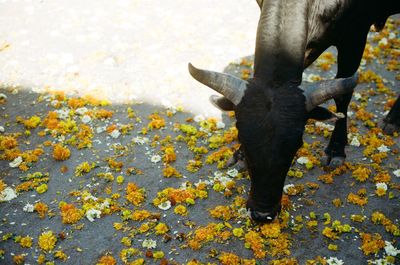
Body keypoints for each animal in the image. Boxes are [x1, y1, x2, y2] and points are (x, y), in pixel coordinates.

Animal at [188, 0, 400, 222]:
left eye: (298, 144)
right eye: (242, 140)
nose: (263, 214)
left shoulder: (355, 35)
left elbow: (343, 94)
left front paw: (336, 150)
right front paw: (239, 157)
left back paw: (391, 120)